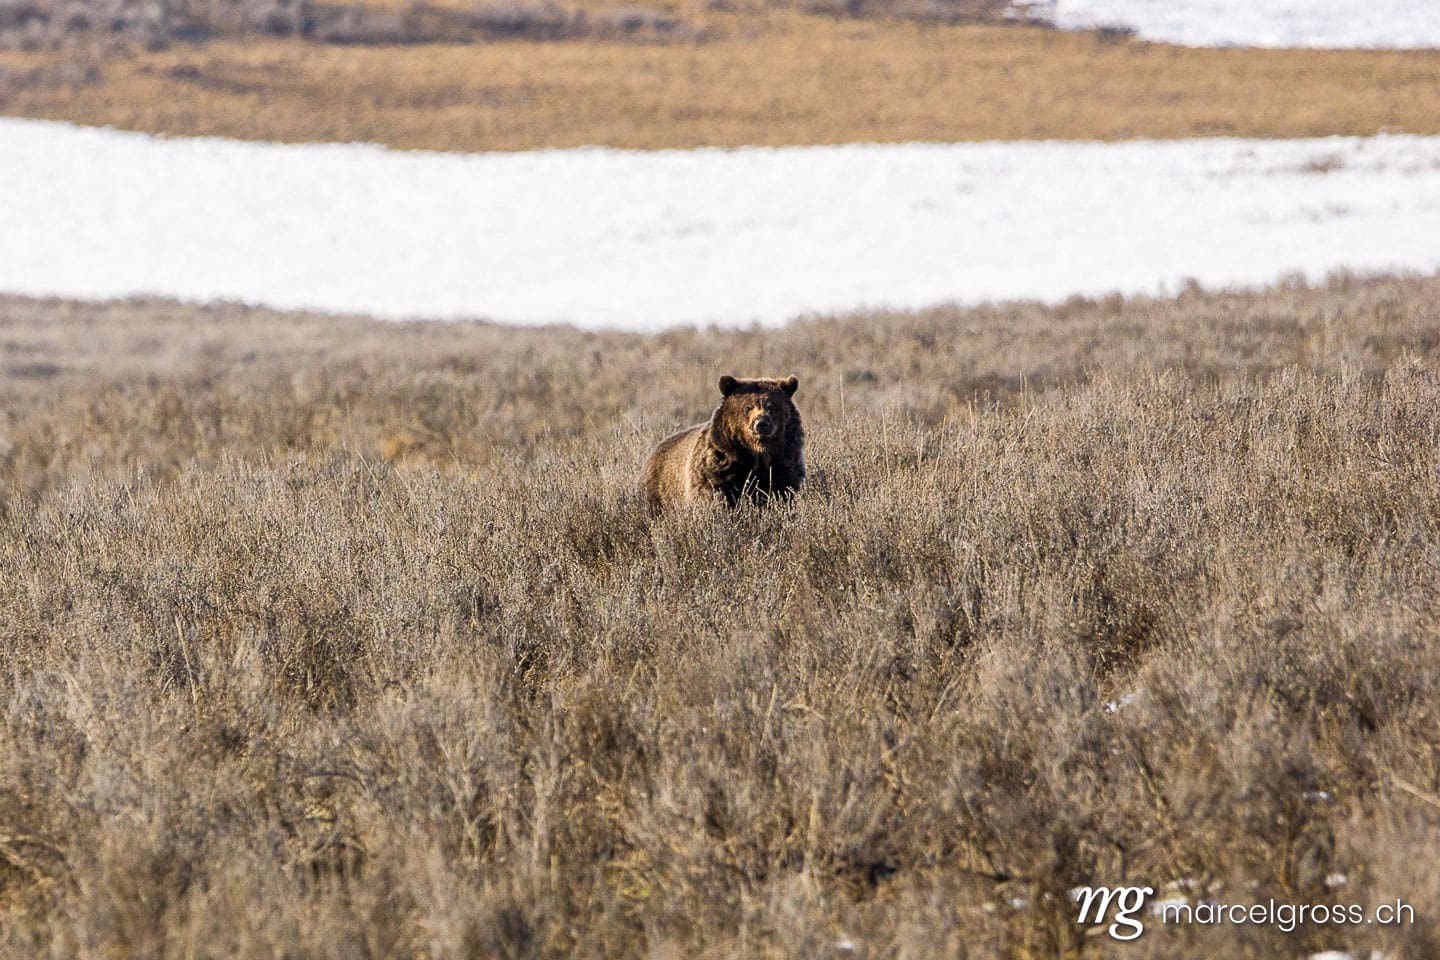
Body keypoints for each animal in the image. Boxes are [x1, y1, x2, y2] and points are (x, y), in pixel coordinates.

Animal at [642, 375, 806, 509]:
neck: (757, 456)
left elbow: (782, 492)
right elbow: (712, 494)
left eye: (772, 407)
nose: (761, 424)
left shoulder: (784, 466)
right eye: (747, 407)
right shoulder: (719, 467)